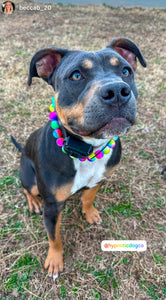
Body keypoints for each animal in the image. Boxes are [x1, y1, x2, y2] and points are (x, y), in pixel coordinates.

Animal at [11, 37, 147, 278]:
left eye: (125, 71)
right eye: (76, 75)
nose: (117, 90)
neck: (88, 149)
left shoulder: (100, 178)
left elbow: (89, 197)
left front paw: (89, 212)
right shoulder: (52, 207)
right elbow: (54, 236)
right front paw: (55, 260)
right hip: (29, 176)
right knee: (28, 188)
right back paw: (34, 202)